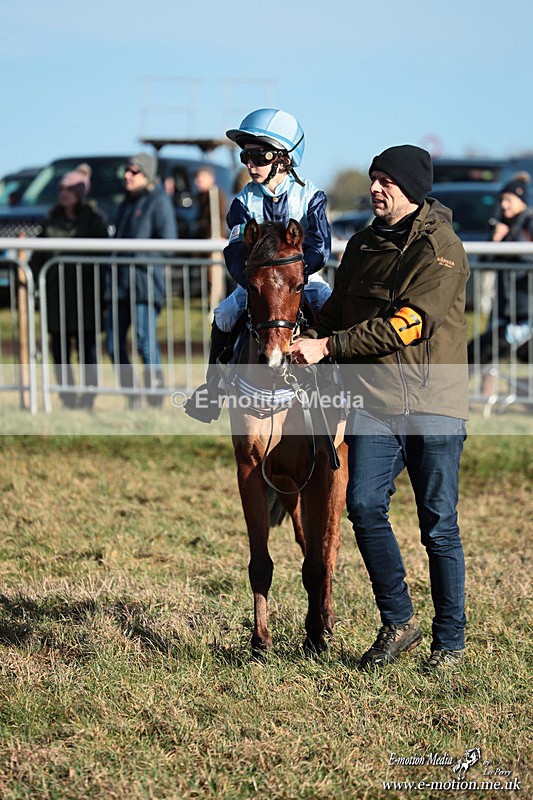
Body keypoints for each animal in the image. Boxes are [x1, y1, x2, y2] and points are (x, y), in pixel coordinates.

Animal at [226, 218, 348, 655]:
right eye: (251, 284)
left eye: (297, 284)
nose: (274, 358)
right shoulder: (251, 468)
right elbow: (261, 562)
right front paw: (260, 640)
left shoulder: (324, 469)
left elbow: (318, 558)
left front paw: (315, 634)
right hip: (288, 484)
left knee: (328, 546)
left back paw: (326, 618)